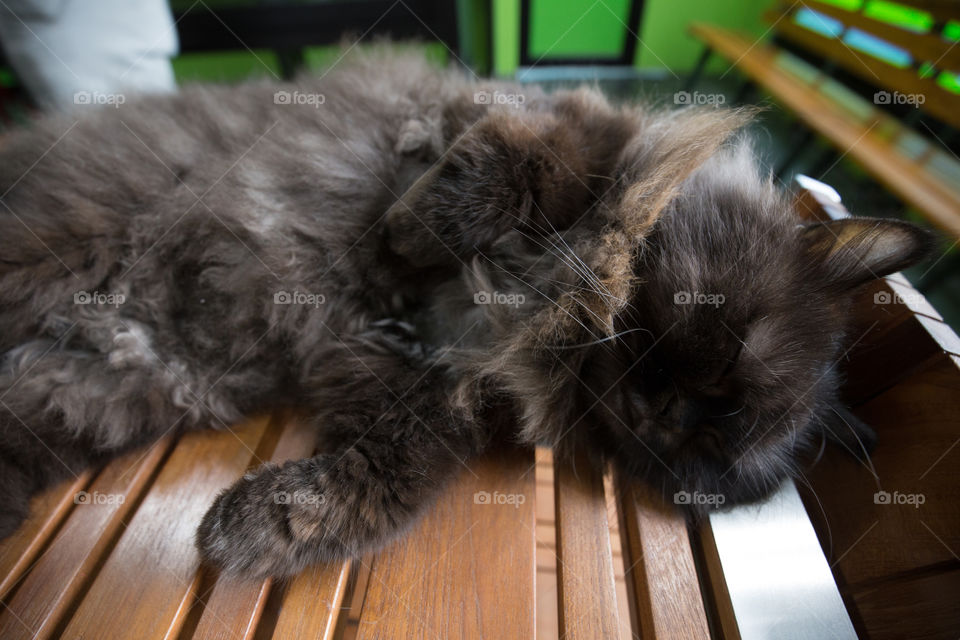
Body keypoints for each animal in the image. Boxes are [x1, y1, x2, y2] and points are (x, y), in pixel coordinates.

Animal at [0, 46, 928, 576]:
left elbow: (393, 472)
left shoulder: (413, 378)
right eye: (728, 348)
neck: (553, 327)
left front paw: (268, 526)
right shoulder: (554, 130)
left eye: (711, 453)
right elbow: (500, 173)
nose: (667, 415)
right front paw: (403, 232)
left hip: (111, 385)